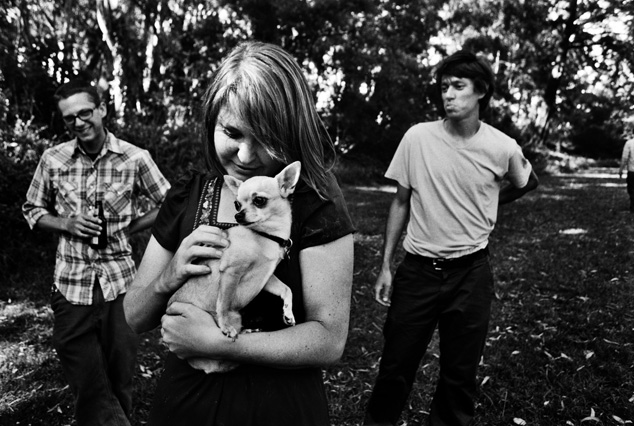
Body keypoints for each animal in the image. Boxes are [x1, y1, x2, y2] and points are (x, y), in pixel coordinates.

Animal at [167, 161, 301, 373]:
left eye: (259, 200)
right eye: (237, 204)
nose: (238, 215)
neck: (265, 236)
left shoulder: (266, 278)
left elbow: (286, 289)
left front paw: (288, 313)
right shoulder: (231, 272)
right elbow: (223, 303)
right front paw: (225, 326)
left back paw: (250, 330)